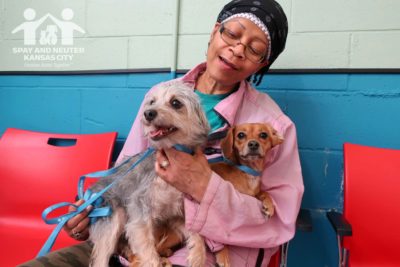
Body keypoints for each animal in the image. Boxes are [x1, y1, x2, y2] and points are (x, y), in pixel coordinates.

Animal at [88, 81, 209, 267]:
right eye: (152, 102)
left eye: (176, 103)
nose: (148, 113)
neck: (168, 159)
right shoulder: (139, 213)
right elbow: (149, 254)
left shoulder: (176, 216)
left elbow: (197, 234)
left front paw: (197, 257)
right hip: (114, 216)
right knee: (101, 259)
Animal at [212, 123, 284, 267]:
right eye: (241, 135)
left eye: (263, 135)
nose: (253, 144)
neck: (249, 172)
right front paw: (222, 254)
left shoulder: (254, 193)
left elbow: (264, 192)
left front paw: (269, 206)